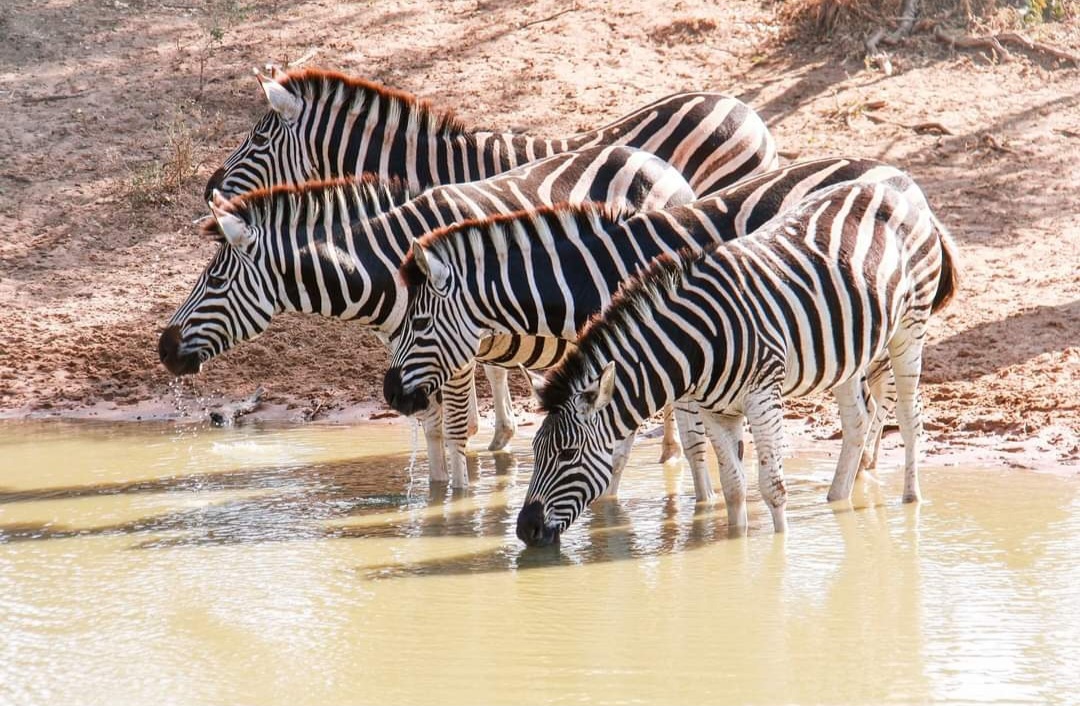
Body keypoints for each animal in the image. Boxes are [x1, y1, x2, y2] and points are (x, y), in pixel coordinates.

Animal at [159, 145, 696, 487]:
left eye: (216, 283)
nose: (164, 350)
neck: (389, 268)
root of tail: (661, 165)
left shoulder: (452, 355)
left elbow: (455, 431)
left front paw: (458, 508)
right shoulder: (416, 358)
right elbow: (435, 430)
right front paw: (438, 498)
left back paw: (669, 453)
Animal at [202, 65, 778, 460]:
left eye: (256, 139)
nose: (209, 190)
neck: (423, 169)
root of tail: (747, 111)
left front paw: (488, 430)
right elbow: (490, 357)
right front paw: (497, 431)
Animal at [383, 157, 946, 501]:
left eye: (419, 322)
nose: (390, 394)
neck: (601, 271)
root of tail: (901, 178)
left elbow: (686, 445)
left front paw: (701, 506)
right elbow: (624, 440)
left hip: (898, 323)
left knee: (899, 408)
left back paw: (901, 491)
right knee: (866, 408)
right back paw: (849, 487)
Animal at [514, 181, 959, 546]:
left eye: (568, 454)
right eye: (535, 450)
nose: (524, 529)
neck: (697, 343)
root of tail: (895, 188)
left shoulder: (763, 396)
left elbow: (772, 485)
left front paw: (777, 552)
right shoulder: (715, 410)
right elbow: (732, 486)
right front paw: (733, 546)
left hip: (911, 326)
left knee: (909, 415)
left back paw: (911, 498)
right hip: (849, 351)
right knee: (857, 421)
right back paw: (837, 498)